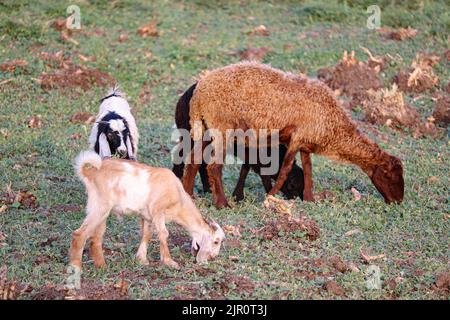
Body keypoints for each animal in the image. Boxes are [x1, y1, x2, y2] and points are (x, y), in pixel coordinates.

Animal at [181, 62, 406, 208]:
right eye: (389, 175)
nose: (398, 201)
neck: (334, 126)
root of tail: (199, 93)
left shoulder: (305, 142)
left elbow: (308, 170)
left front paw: (309, 199)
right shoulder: (297, 138)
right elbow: (285, 170)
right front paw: (270, 197)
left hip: (206, 127)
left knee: (193, 160)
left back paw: (188, 195)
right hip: (222, 127)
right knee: (213, 167)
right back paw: (222, 204)